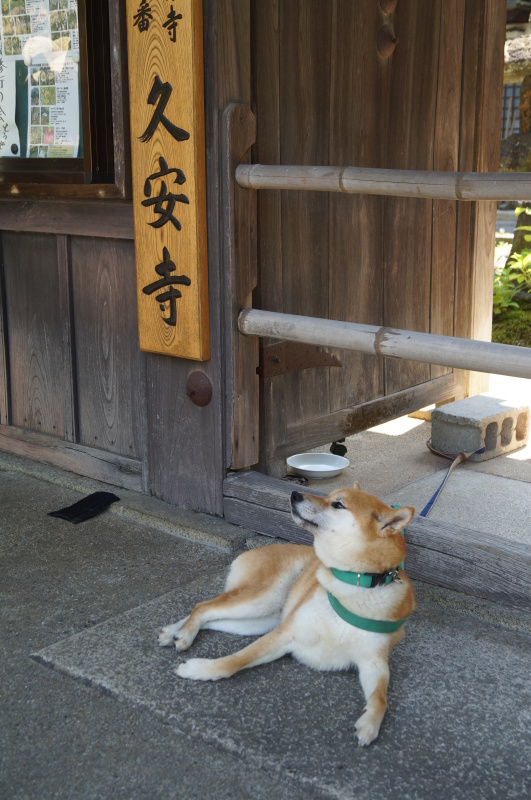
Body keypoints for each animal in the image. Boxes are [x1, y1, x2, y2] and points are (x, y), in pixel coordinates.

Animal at [158, 484, 416, 748]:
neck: (355, 586)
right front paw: (198, 670)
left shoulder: (374, 663)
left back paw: (175, 632)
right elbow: (234, 661)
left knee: (210, 616)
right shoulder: (284, 634)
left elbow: (380, 697)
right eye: (329, 496)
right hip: (262, 600)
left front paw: (370, 723)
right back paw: (183, 634)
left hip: (259, 620)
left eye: (338, 505)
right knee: (203, 606)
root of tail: (259, 549)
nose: (294, 494)